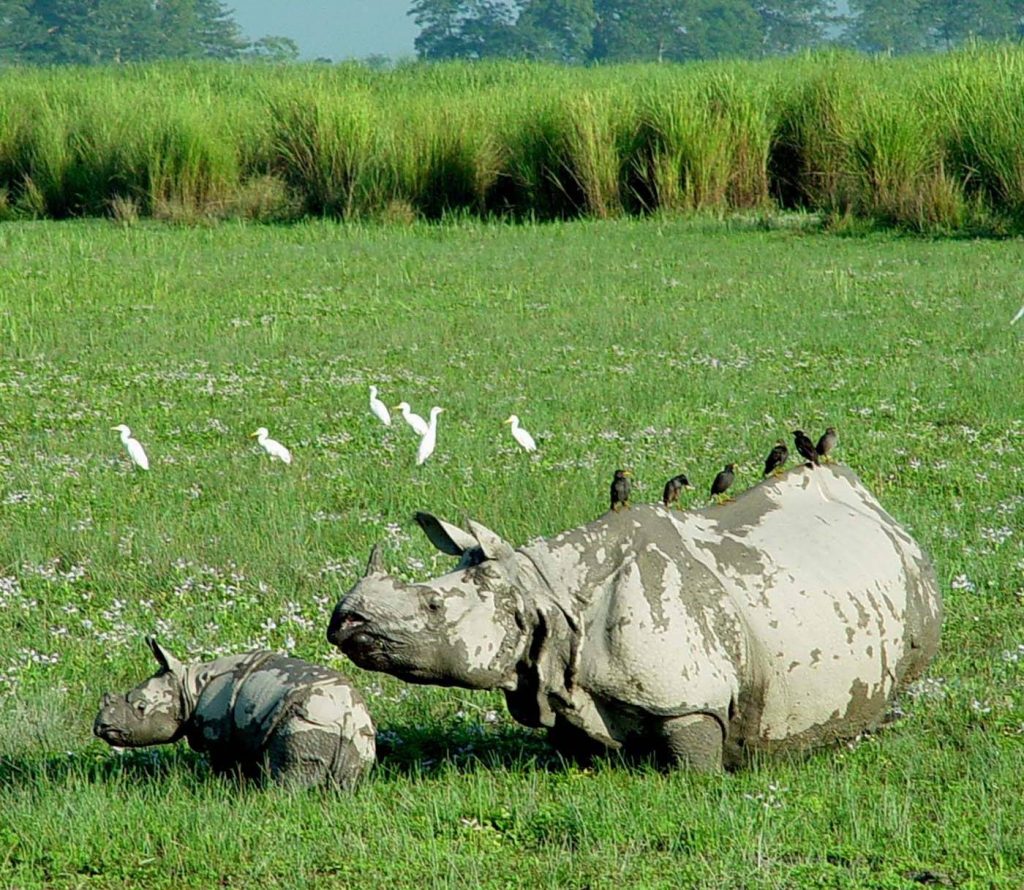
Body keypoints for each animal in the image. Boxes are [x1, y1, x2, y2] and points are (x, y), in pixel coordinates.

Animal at [95, 634, 376, 786]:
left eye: (140, 706)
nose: (100, 727)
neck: (188, 685)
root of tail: (348, 717)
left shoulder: (220, 733)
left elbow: (225, 765)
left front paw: (222, 786)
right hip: (357, 736)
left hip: (309, 722)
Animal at [329, 464, 942, 770]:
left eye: (433, 606)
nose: (344, 621)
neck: (542, 591)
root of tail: (874, 501)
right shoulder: (557, 673)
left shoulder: (691, 691)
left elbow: (693, 755)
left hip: (910, 578)